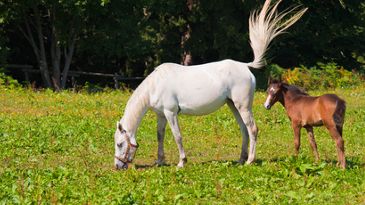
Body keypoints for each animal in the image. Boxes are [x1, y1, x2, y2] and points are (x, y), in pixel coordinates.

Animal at [113, 0, 304, 170]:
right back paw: (241, 159)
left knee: (252, 129)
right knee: (244, 129)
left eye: (120, 144)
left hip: (243, 106)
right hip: (233, 105)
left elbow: (177, 136)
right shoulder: (161, 115)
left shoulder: (171, 113)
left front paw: (182, 162)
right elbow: (160, 136)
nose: (117, 166)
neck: (156, 84)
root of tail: (245, 66)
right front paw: (160, 162)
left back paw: (250, 160)